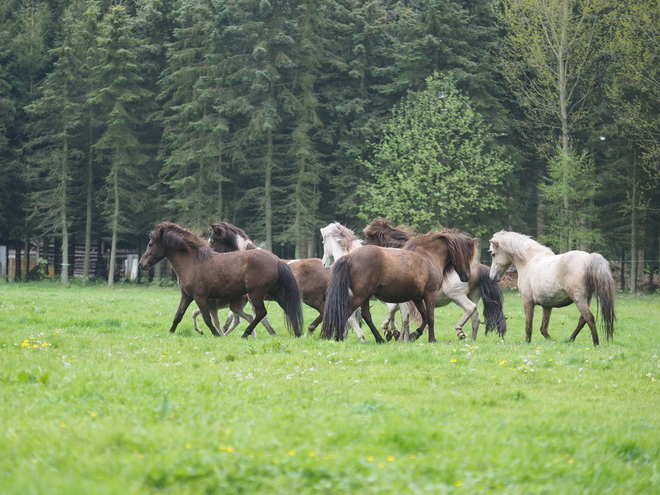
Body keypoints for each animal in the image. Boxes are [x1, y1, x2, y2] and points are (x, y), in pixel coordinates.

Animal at [141, 223, 304, 340]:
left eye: (150, 244)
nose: (142, 264)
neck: (192, 262)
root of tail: (277, 260)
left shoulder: (200, 297)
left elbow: (207, 318)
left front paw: (217, 334)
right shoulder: (186, 296)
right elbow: (178, 316)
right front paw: (170, 333)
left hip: (256, 294)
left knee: (260, 313)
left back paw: (245, 334)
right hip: (276, 292)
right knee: (288, 308)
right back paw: (297, 334)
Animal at [320, 231, 474, 342]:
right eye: (465, 255)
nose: (467, 277)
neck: (428, 257)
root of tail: (350, 257)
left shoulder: (417, 298)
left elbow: (424, 317)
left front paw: (414, 335)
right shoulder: (430, 294)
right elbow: (430, 317)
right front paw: (432, 339)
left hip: (364, 296)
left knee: (366, 315)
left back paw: (379, 339)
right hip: (361, 296)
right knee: (347, 312)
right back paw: (339, 336)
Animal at [488, 232, 616, 344]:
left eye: (493, 254)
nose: (492, 277)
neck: (529, 261)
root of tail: (589, 258)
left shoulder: (527, 301)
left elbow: (529, 325)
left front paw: (527, 342)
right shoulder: (547, 305)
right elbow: (543, 329)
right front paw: (552, 341)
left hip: (578, 298)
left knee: (589, 317)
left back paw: (595, 342)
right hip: (587, 298)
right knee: (582, 319)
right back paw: (570, 339)